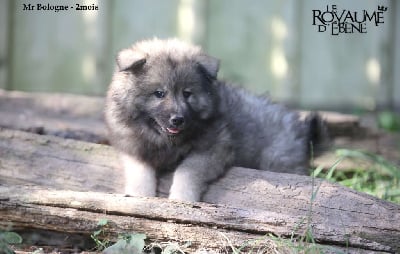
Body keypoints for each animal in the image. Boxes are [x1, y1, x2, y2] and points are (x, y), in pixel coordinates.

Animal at [104, 37, 326, 201]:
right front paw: (140, 197)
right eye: (159, 93)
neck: (165, 141)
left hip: (278, 160)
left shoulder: (213, 148)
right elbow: (140, 173)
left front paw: (181, 199)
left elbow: (186, 172)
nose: (178, 119)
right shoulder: (132, 148)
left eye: (187, 94)